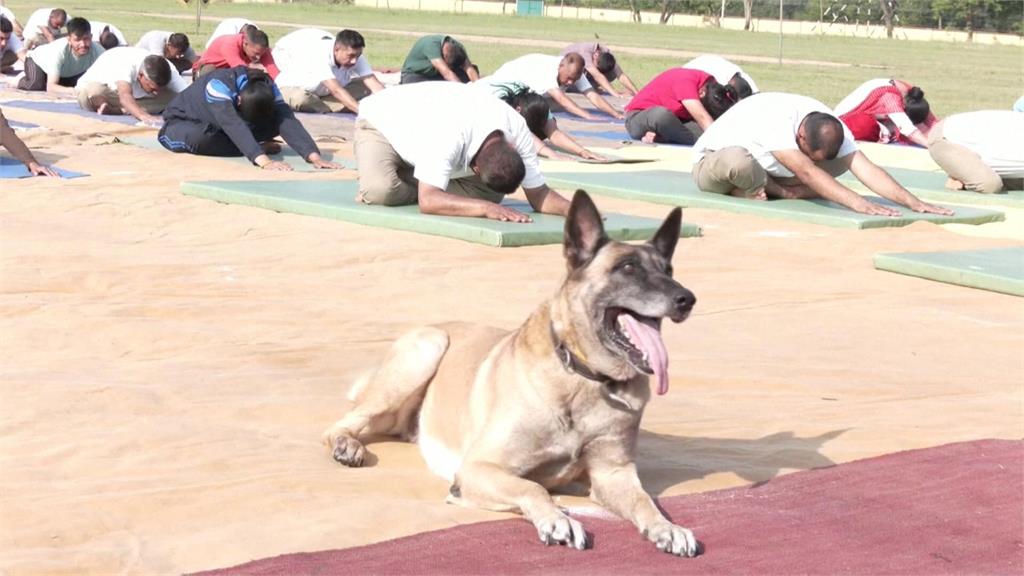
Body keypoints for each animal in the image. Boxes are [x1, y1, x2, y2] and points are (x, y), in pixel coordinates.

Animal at [323, 190, 700, 553]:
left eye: (668, 269)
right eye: (627, 267)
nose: (687, 299)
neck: (582, 376)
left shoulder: (614, 474)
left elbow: (645, 500)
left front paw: (667, 527)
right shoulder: (479, 468)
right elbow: (533, 488)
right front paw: (558, 519)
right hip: (427, 347)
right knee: (342, 423)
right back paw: (347, 445)